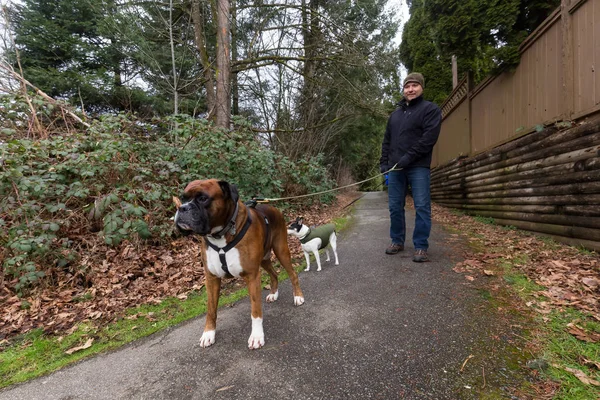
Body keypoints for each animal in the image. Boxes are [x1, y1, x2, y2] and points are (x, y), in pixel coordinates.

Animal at [173, 180, 304, 348]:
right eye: (183, 198)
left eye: (203, 198)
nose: (182, 208)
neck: (220, 234)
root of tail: (273, 207)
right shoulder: (211, 278)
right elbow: (211, 309)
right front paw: (208, 333)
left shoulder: (252, 276)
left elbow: (255, 310)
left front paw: (256, 336)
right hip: (264, 259)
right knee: (274, 274)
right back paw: (274, 293)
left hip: (281, 251)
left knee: (292, 274)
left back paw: (298, 296)